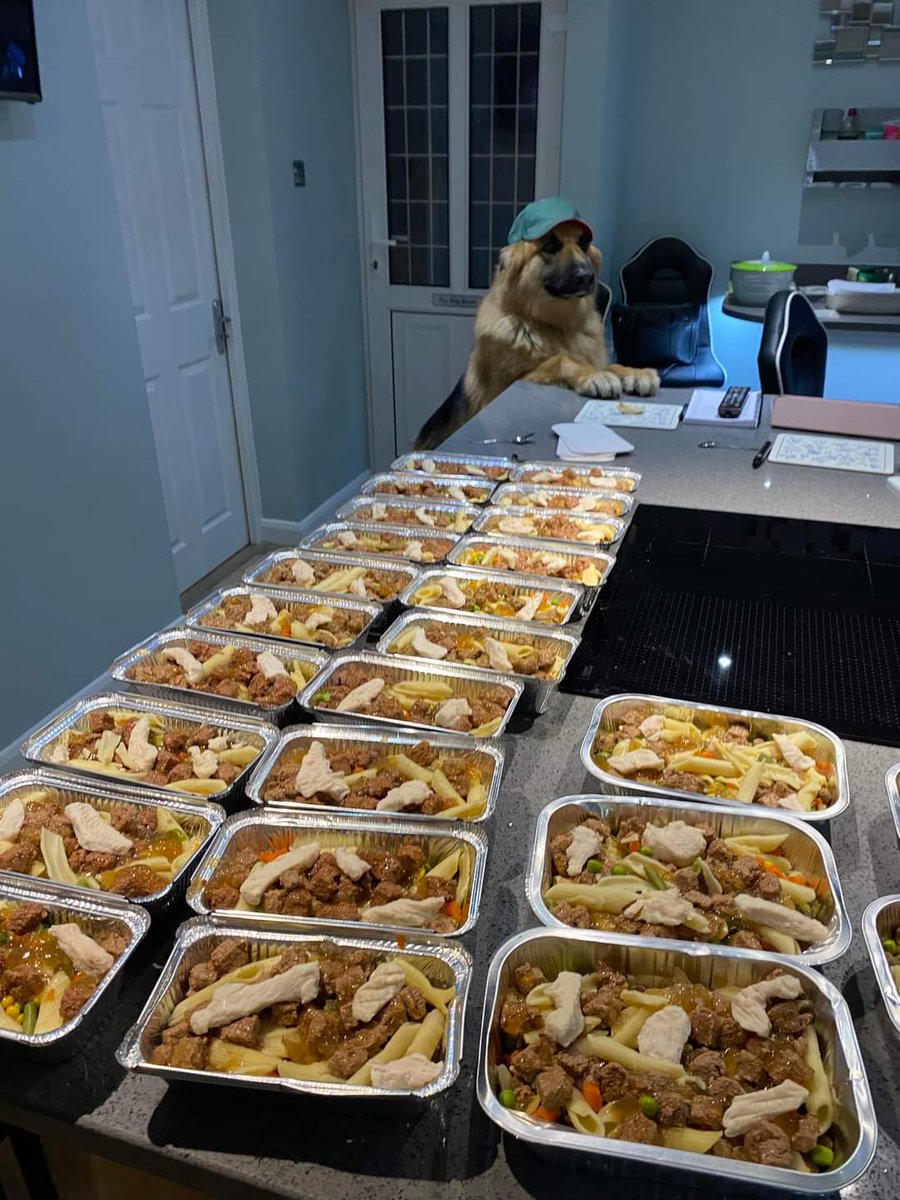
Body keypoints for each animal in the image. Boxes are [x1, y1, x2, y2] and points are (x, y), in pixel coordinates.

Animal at [417, 222, 662, 451]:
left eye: (583, 243)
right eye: (550, 246)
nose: (587, 277)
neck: (557, 326)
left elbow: (611, 365)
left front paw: (633, 373)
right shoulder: (506, 384)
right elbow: (558, 360)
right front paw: (593, 375)